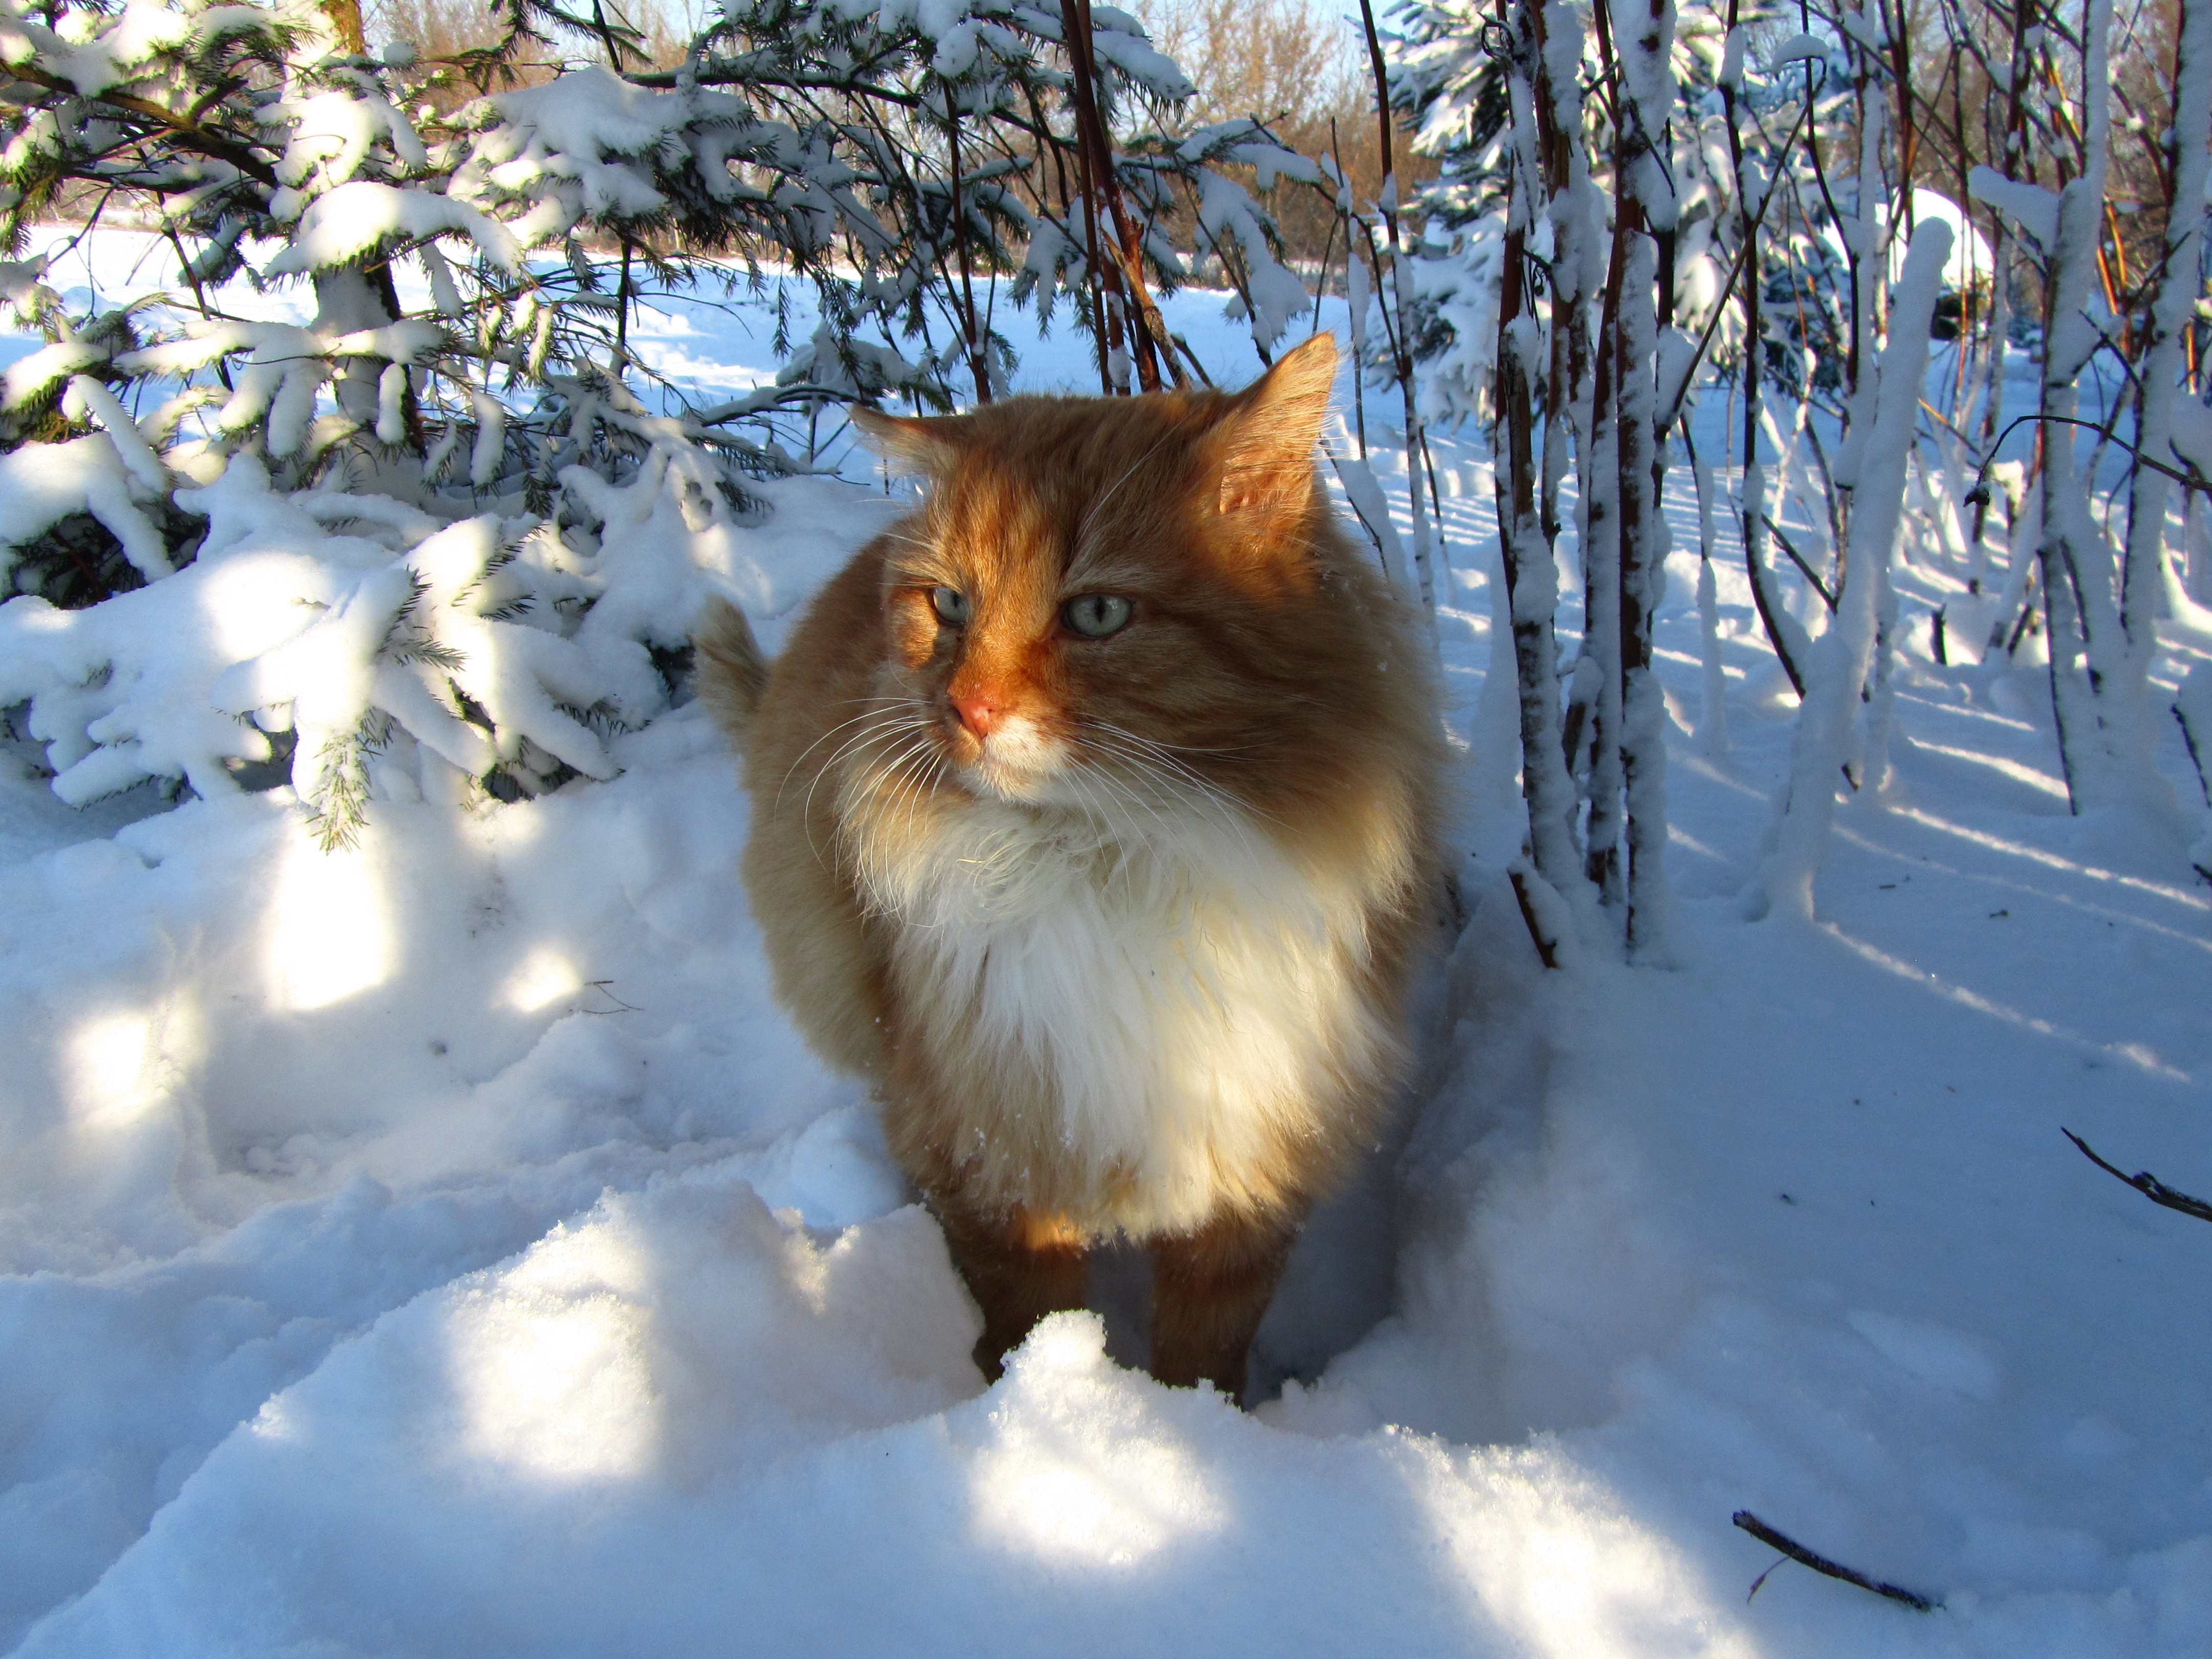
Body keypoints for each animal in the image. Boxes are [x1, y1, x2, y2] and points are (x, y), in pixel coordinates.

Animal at [699, 338, 1442, 1407]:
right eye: (950, 605)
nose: (967, 709)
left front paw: (1192, 1426)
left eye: (1096, 612)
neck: (1114, 861)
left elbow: (1206, 1352)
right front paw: (1042, 1400)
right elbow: (1033, 1316)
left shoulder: (1253, 1161)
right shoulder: (995, 1152)